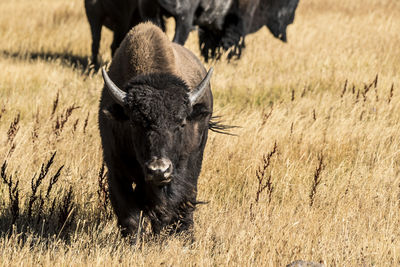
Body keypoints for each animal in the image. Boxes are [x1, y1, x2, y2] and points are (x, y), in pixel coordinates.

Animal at [98, 22, 214, 237]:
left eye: (181, 123)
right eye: (134, 123)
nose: (158, 169)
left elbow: (165, 210)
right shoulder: (116, 170)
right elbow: (130, 216)